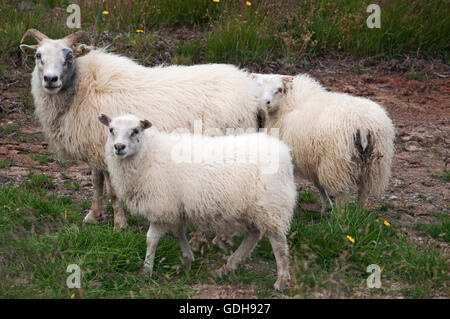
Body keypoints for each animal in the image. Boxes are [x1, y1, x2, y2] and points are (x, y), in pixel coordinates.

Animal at [20, 29, 260, 230]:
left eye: (69, 57)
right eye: (38, 56)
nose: (50, 79)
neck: (82, 89)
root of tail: (251, 92)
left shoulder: (110, 151)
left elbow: (112, 191)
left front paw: (119, 224)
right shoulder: (95, 149)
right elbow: (96, 184)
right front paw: (93, 216)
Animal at [100, 114, 298, 292]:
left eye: (135, 130)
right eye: (111, 130)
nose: (119, 147)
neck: (147, 154)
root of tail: (284, 154)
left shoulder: (161, 206)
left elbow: (151, 239)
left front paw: (146, 270)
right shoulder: (175, 207)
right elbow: (179, 233)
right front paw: (187, 259)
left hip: (271, 205)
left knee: (279, 244)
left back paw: (280, 281)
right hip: (252, 208)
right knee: (253, 235)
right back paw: (227, 268)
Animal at [251, 74, 396, 214]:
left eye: (279, 89)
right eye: (258, 86)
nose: (266, 102)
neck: (288, 103)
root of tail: (364, 125)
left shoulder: (308, 159)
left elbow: (318, 184)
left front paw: (326, 206)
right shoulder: (312, 158)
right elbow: (318, 183)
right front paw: (327, 205)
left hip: (338, 163)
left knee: (342, 194)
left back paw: (339, 216)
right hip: (375, 164)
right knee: (364, 190)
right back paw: (359, 213)